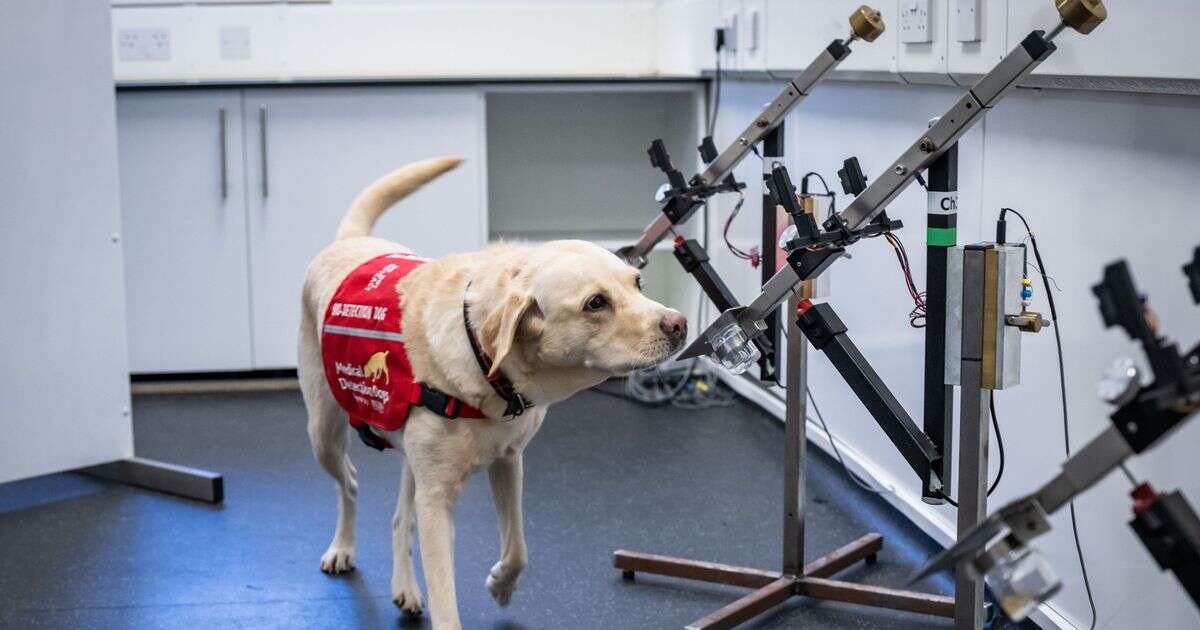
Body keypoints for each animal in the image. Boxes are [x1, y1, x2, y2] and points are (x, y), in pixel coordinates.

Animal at [297, 154, 686, 624]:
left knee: (399, 517)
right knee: (350, 484)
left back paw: (405, 586)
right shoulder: (436, 500)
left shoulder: (508, 461)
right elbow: (446, 598)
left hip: (409, 456)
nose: (680, 324)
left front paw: (502, 585)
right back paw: (342, 548)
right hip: (324, 432)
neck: (485, 366)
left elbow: (518, 546)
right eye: (595, 303)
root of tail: (352, 242)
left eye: (637, 284)